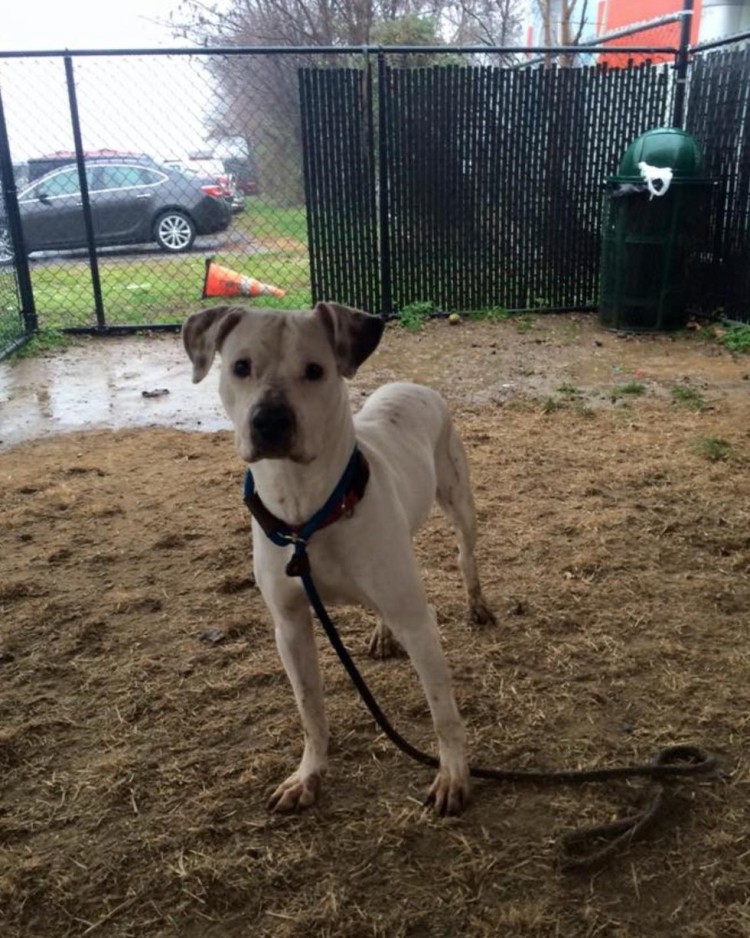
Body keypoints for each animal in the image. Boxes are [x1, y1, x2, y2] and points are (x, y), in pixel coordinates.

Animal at [184, 302, 496, 812]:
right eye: (240, 367)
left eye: (315, 371)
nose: (270, 421)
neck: (307, 514)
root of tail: (411, 385)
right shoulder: (289, 626)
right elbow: (310, 709)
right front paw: (308, 776)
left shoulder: (418, 622)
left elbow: (443, 711)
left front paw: (452, 775)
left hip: (459, 501)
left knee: (465, 555)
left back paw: (477, 603)